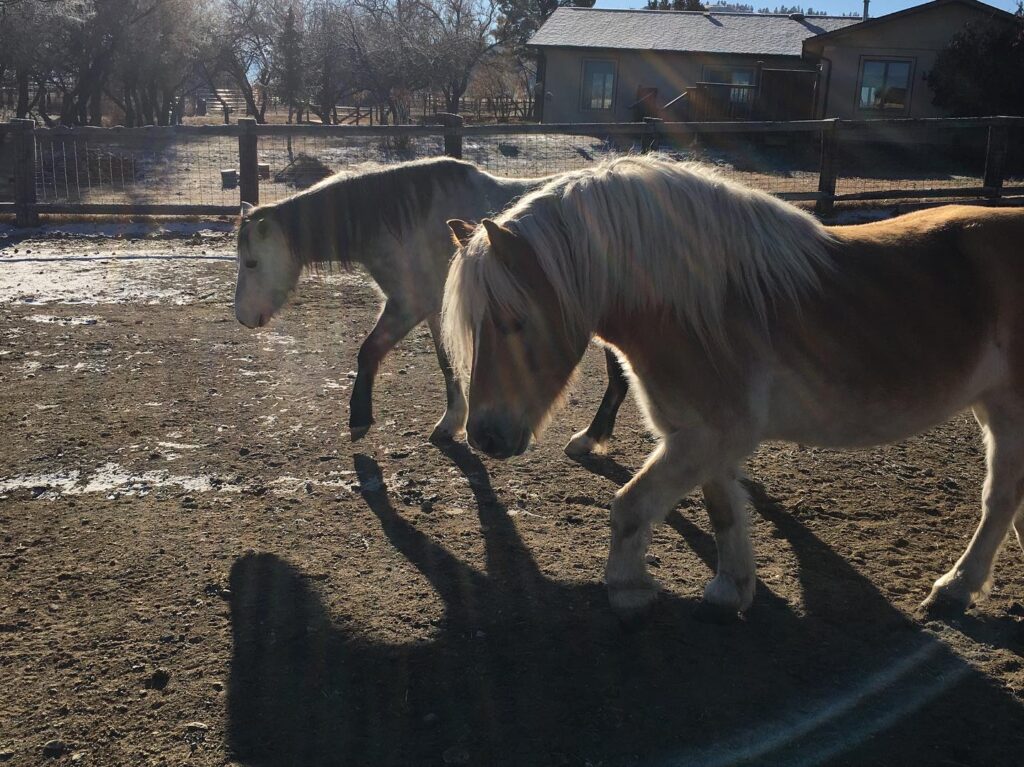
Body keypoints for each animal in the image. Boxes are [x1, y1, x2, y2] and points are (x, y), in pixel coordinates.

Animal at [233, 157, 630, 449]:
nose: (243, 318)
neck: (407, 221)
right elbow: (447, 363)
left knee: (620, 378)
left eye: (251, 263)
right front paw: (451, 423)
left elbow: (368, 350)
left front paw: (359, 419)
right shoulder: (436, 311)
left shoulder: (407, 305)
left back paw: (589, 439)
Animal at [442, 153, 1024, 621]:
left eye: (514, 320)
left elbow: (630, 505)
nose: (485, 436)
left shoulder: (711, 434)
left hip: (1009, 414)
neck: (701, 308)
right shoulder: (700, 435)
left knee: (998, 499)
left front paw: (629, 589)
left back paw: (955, 589)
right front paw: (731, 590)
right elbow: (723, 509)